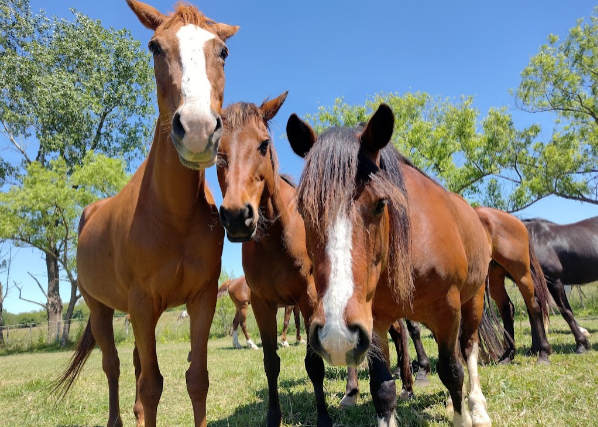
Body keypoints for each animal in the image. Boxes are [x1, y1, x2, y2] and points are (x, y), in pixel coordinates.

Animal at [52, 1, 238, 426]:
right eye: (155, 47)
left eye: (223, 52)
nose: (198, 129)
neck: (173, 215)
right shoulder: (140, 304)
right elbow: (151, 386)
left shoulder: (201, 299)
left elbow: (196, 380)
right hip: (100, 309)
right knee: (114, 366)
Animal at [217, 94, 340, 427]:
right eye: (218, 150)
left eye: (263, 144)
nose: (237, 216)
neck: (275, 241)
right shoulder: (262, 304)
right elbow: (271, 362)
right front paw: (274, 417)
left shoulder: (307, 299)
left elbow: (314, 364)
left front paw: (324, 417)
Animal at [288, 104, 504, 427]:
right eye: (304, 209)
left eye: (380, 204)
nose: (335, 334)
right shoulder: (372, 321)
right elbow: (383, 389)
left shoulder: (448, 308)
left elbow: (452, 371)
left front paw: (464, 414)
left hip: (473, 300)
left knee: (468, 348)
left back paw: (477, 407)